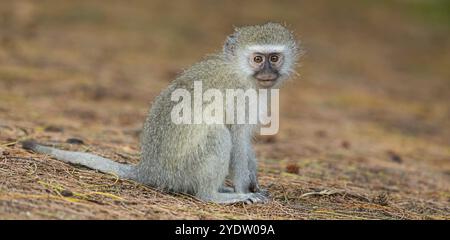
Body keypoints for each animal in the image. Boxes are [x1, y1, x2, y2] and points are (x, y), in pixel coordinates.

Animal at [22, 22, 300, 203]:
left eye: (274, 58)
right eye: (257, 59)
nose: (268, 73)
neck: (242, 73)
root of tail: (151, 170)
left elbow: (247, 145)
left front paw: (255, 183)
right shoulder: (240, 98)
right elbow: (239, 141)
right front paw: (246, 190)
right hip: (182, 170)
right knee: (218, 135)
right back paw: (213, 195)